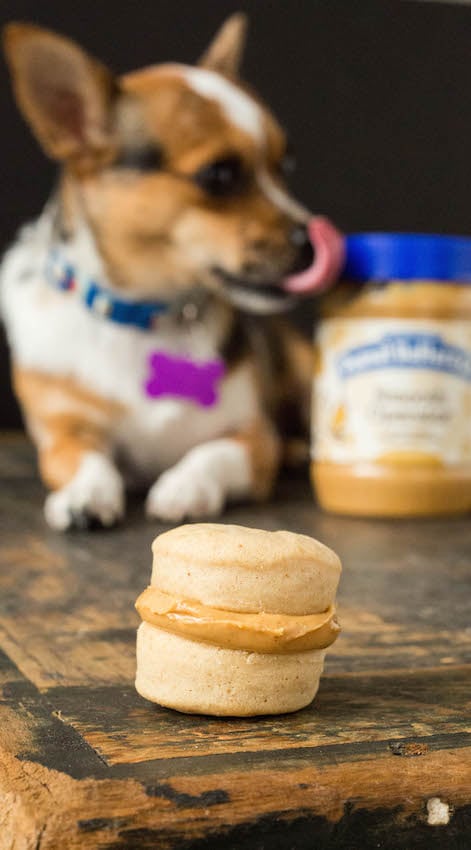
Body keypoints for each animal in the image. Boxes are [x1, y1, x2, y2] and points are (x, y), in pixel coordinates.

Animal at [0, 11, 342, 528]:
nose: (311, 241)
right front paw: (84, 495)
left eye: (286, 166)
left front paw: (185, 486)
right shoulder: (62, 431)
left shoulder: (253, 436)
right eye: (219, 176)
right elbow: (84, 458)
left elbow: (211, 453)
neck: (145, 314)